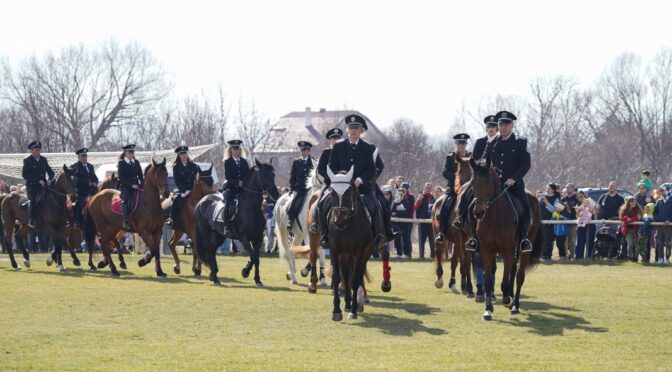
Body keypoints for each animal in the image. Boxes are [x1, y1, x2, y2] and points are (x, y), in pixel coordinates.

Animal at [272, 158, 326, 286]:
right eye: (319, 172)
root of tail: (279, 200)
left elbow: (321, 256)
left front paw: (322, 280)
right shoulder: (309, 234)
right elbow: (313, 253)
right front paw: (306, 272)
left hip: (298, 234)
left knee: (293, 249)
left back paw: (292, 272)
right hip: (283, 232)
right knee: (288, 252)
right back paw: (293, 278)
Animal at [324, 167, 372, 322]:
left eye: (347, 192)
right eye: (332, 192)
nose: (338, 222)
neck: (347, 225)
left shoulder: (359, 252)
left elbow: (356, 278)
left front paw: (354, 310)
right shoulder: (335, 250)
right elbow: (337, 277)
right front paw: (336, 310)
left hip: (364, 253)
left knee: (359, 273)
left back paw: (357, 303)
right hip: (345, 254)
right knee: (345, 274)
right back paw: (347, 302)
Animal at [470, 157, 544, 320]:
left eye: (488, 182)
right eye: (472, 183)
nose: (478, 212)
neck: (493, 217)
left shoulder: (507, 250)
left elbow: (504, 281)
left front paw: (506, 299)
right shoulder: (486, 250)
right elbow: (488, 280)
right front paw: (488, 310)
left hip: (524, 249)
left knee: (519, 275)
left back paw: (514, 305)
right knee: (512, 271)